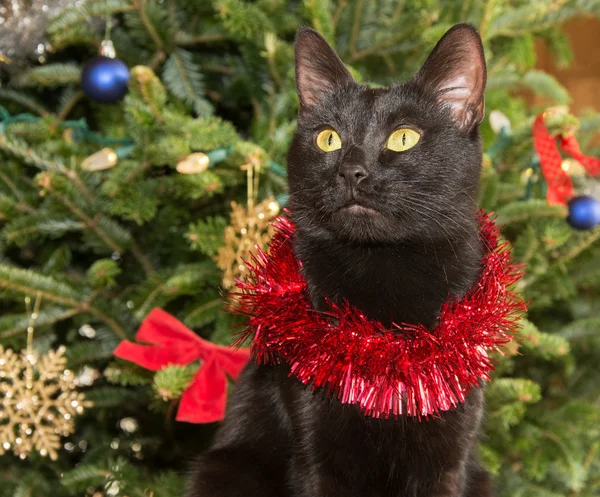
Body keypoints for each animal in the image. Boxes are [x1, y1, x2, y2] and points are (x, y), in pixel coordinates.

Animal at [189, 23, 492, 496]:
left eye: (404, 138)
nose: (351, 170)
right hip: (222, 467)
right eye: (328, 138)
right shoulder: (315, 448)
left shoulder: (449, 459)